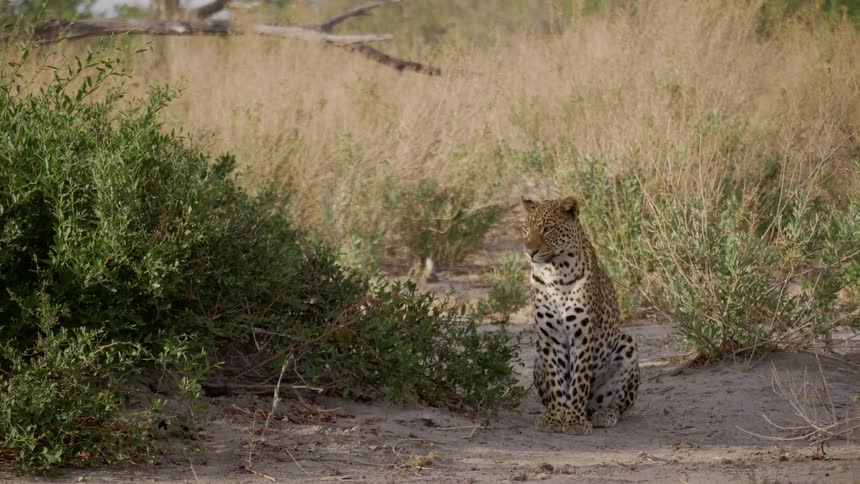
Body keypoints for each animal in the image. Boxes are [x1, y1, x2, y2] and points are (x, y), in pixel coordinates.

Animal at [522, 195, 640, 435]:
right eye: (525, 229)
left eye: (547, 229)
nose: (529, 252)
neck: (555, 274)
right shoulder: (550, 337)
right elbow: (556, 380)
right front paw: (556, 418)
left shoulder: (583, 335)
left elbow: (580, 380)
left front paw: (575, 420)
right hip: (537, 356)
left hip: (627, 343)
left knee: (618, 405)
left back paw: (602, 414)